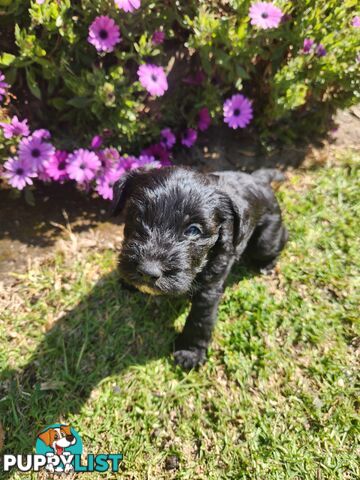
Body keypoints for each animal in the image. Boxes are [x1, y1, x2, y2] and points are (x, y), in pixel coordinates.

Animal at [111, 167, 288, 370]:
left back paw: (267, 265)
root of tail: (259, 179)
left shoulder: (209, 291)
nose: (148, 271)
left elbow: (199, 321)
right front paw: (128, 282)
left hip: (264, 241)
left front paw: (190, 353)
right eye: (137, 216)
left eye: (193, 230)